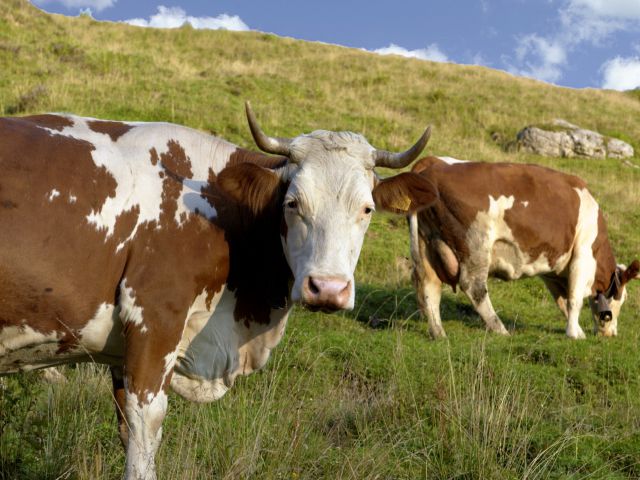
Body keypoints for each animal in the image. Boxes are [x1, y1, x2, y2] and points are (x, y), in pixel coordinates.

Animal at [0, 103, 437, 479]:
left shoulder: (122, 352)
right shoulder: (154, 321)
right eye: (292, 203)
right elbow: (144, 432)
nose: (327, 288)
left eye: (366, 209)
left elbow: (126, 428)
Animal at [408, 156, 639, 340]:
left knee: (429, 285)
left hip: (428, 244)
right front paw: (574, 334)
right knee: (474, 287)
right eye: (623, 298)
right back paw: (500, 329)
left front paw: (576, 328)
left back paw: (438, 333)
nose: (611, 333)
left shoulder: (554, 268)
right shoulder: (582, 254)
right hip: (476, 245)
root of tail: (433, 165)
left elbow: (562, 300)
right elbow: (574, 299)